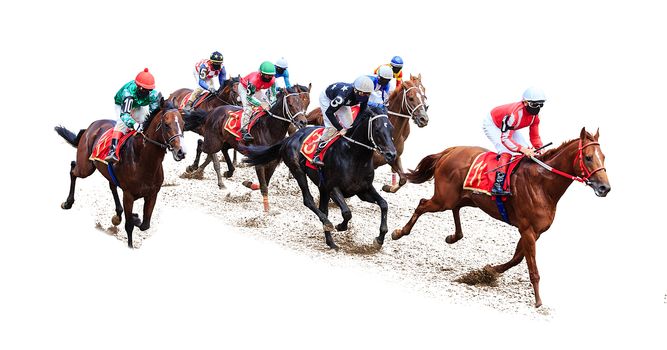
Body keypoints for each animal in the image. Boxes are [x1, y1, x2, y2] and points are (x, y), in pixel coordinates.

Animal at [52, 101, 185, 249]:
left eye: (183, 124)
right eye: (166, 124)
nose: (180, 152)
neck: (143, 160)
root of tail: (92, 125)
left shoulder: (152, 194)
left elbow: (145, 225)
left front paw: (135, 217)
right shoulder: (128, 195)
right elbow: (129, 226)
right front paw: (131, 236)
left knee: (112, 185)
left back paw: (118, 214)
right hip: (85, 168)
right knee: (73, 168)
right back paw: (68, 203)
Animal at [244, 105, 396, 250]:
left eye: (391, 129)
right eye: (377, 130)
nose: (392, 154)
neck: (354, 155)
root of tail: (289, 138)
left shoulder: (363, 190)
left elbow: (384, 204)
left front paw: (379, 239)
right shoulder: (332, 187)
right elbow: (347, 212)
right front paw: (341, 226)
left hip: (321, 188)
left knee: (323, 209)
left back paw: (331, 242)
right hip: (298, 171)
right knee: (309, 201)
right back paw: (328, 225)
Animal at [302, 74, 430, 194]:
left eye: (424, 95)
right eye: (411, 98)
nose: (424, 119)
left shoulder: (394, 157)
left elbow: (403, 179)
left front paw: (388, 187)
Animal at [394, 129, 612, 306]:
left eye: (603, 157)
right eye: (588, 157)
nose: (605, 188)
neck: (542, 185)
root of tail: (450, 151)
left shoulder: (534, 232)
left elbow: (517, 258)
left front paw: (488, 271)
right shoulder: (527, 230)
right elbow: (531, 267)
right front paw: (539, 302)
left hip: (465, 198)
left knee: (455, 208)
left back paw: (453, 236)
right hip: (443, 199)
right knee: (422, 204)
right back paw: (399, 232)